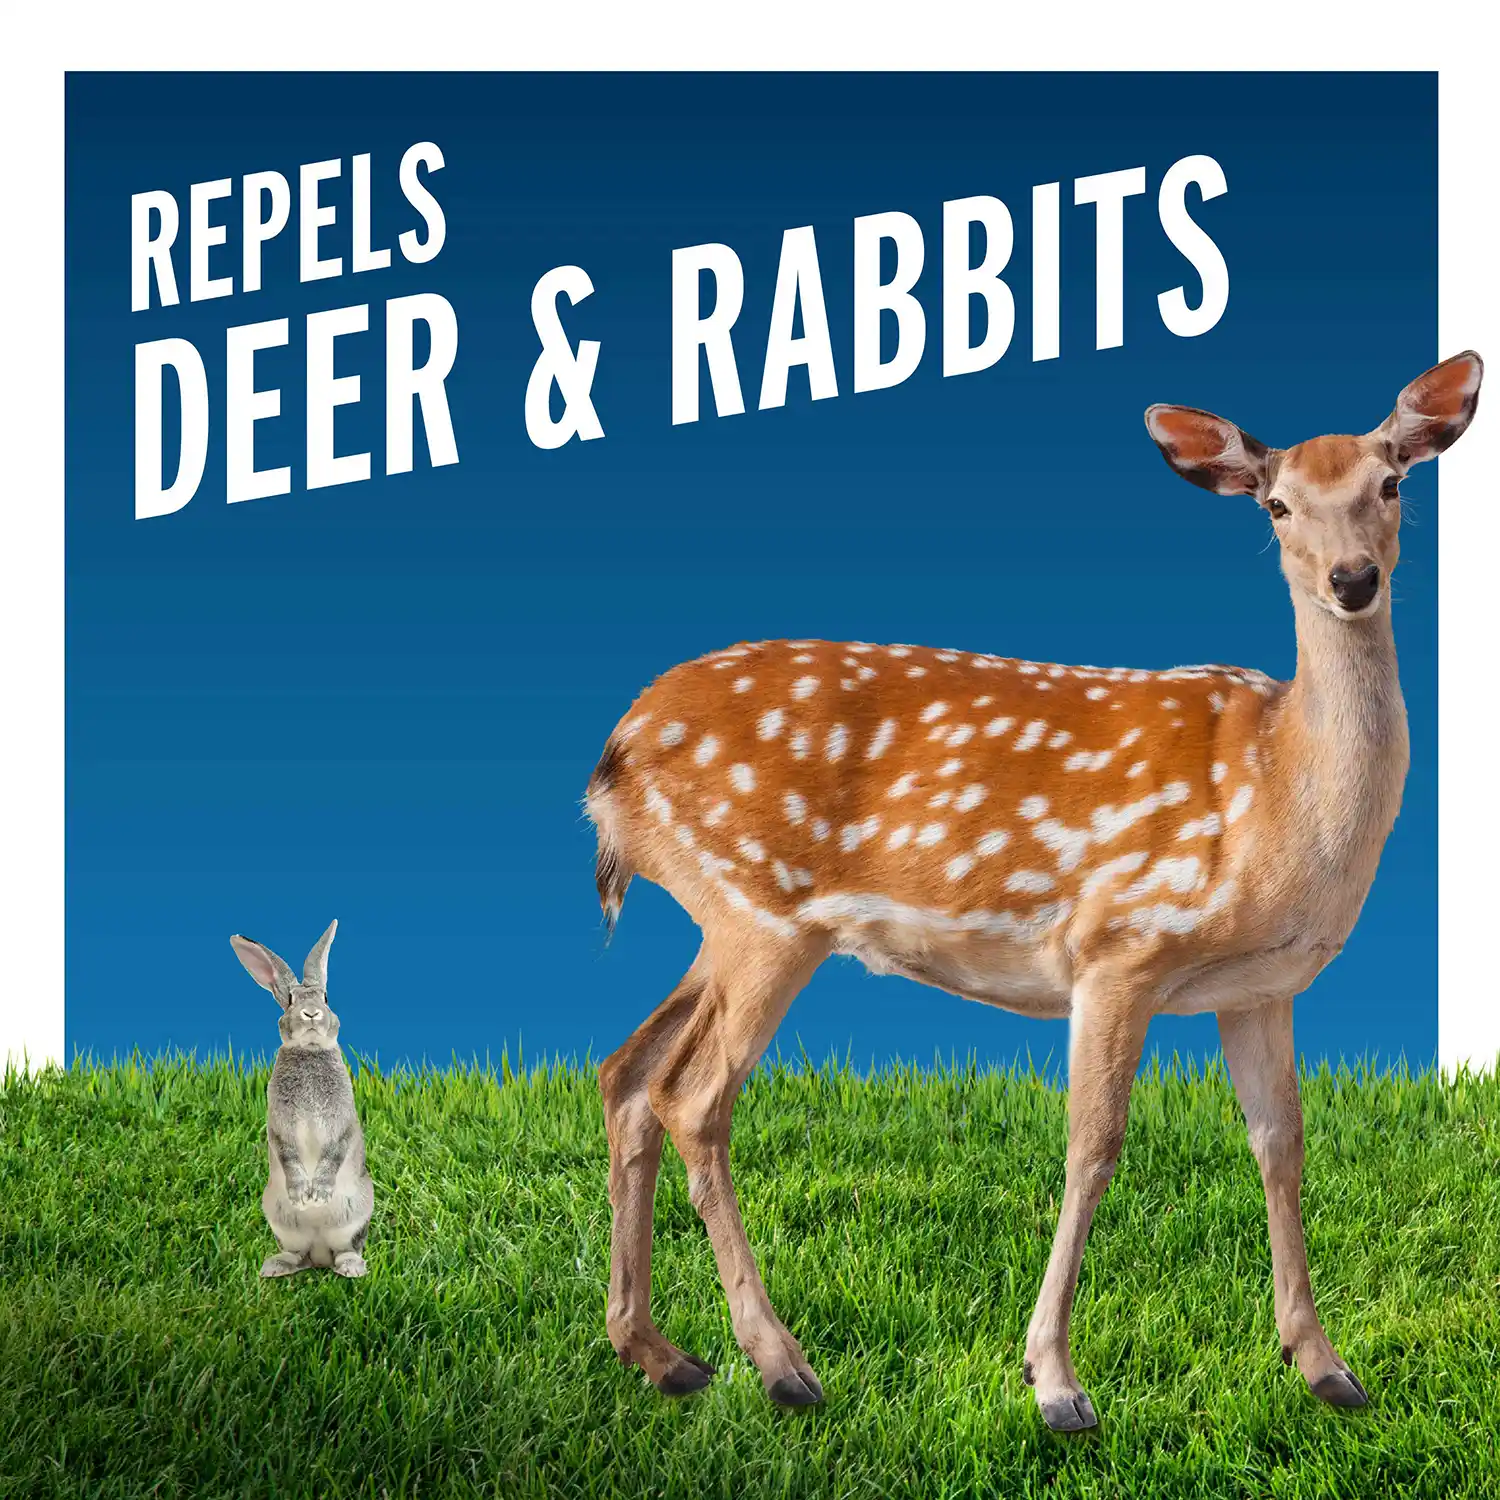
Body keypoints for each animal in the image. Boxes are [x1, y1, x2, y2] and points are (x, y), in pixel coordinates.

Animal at [230, 920, 374, 1279]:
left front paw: (317, 1194)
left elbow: (335, 1150)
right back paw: (274, 1266)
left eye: (325, 997)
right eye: (290, 1001)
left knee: (345, 1249)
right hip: (281, 1221)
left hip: (355, 1216)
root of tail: (319, 1255)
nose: (311, 1013)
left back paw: (352, 1268)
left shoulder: (342, 1122)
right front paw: (302, 1195)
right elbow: (287, 1152)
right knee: (298, 1255)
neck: (309, 1050)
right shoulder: (279, 1126)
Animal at [583, 351, 1482, 1430]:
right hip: (765, 909)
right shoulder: (1119, 944)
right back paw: (778, 1364)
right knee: (692, 1097)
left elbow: (1283, 1144)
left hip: (724, 919)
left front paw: (1323, 1365)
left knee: (627, 1071)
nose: (1353, 580)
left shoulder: (1261, 986)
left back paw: (658, 1353)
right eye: (1276, 505)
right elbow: (1093, 1146)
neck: (1279, 790)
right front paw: (1055, 1381)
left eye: (1391, 484)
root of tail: (612, 757)